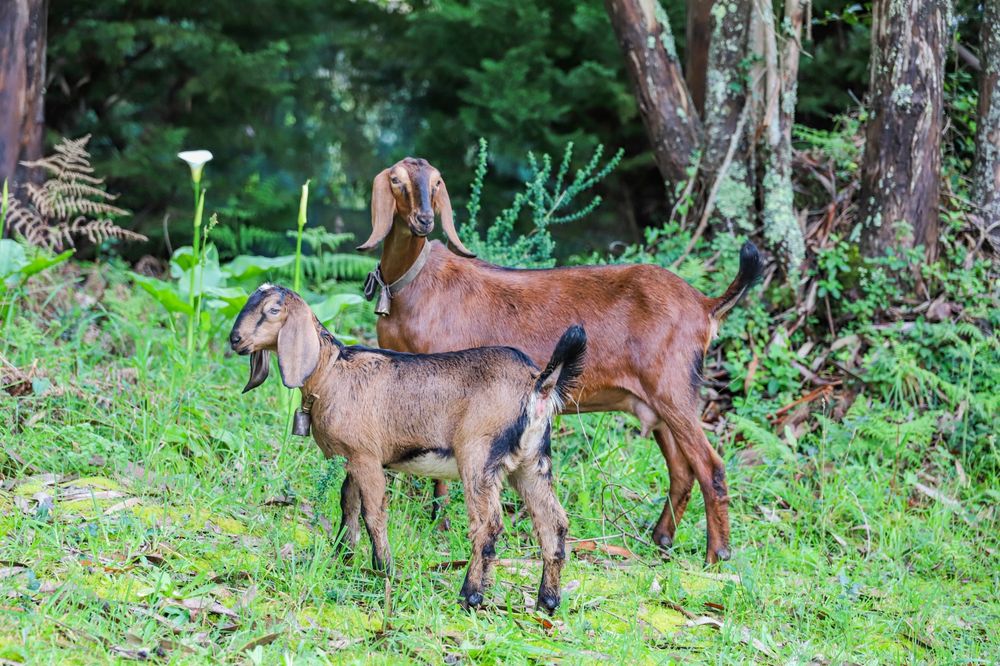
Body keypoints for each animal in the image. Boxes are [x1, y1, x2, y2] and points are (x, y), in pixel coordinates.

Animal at [229, 284, 586, 612]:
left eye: (274, 310)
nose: (235, 339)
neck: (332, 372)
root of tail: (538, 385)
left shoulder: (366, 457)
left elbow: (373, 513)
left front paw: (383, 570)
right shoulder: (351, 458)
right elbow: (348, 505)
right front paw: (342, 556)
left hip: (479, 455)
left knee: (488, 525)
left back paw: (470, 596)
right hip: (532, 462)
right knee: (553, 523)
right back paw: (547, 601)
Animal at [357, 157, 765, 564]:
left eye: (437, 183)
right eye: (396, 180)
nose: (424, 219)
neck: (412, 284)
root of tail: (705, 305)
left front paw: (438, 527)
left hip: (674, 390)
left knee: (710, 467)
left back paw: (716, 556)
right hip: (657, 403)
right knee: (682, 470)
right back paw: (661, 540)